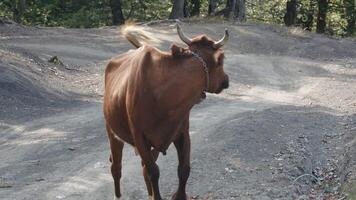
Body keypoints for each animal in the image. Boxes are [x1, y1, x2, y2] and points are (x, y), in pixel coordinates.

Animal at [104, 23, 229, 200]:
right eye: (221, 60)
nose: (226, 80)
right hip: (112, 132)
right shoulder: (140, 137)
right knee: (116, 167)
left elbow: (184, 169)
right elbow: (153, 171)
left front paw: (179, 196)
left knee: (142, 167)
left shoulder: (182, 132)